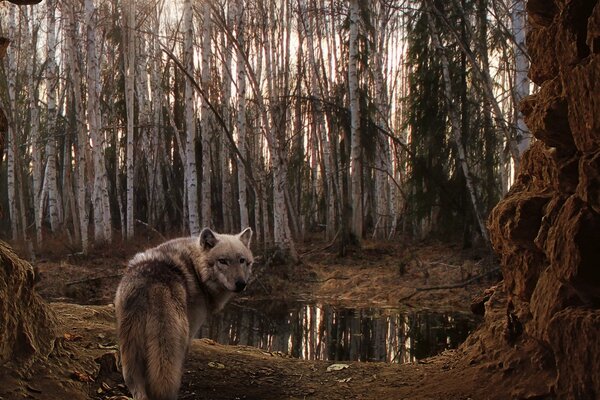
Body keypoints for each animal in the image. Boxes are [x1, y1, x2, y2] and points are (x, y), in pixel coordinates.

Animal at [114, 228, 253, 400]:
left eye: (242, 260)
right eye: (222, 261)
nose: (241, 284)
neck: (196, 269)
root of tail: (153, 282)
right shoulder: (191, 331)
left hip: (130, 349)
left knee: (136, 386)